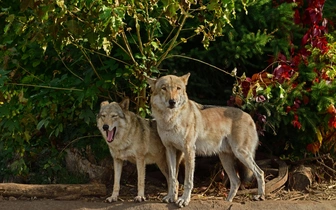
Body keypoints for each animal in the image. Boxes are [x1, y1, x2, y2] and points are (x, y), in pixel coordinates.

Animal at [147, 73, 266, 208]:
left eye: (178, 88)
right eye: (164, 88)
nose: (172, 102)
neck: (170, 119)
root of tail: (249, 116)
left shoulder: (189, 151)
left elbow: (188, 181)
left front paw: (184, 200)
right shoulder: (170, 150)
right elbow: (173, 178)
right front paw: (171, 197)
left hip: (241, 154)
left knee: (260, 173)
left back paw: (260, 196)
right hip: (226, 159)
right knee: (236, 181)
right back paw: (227, 202)